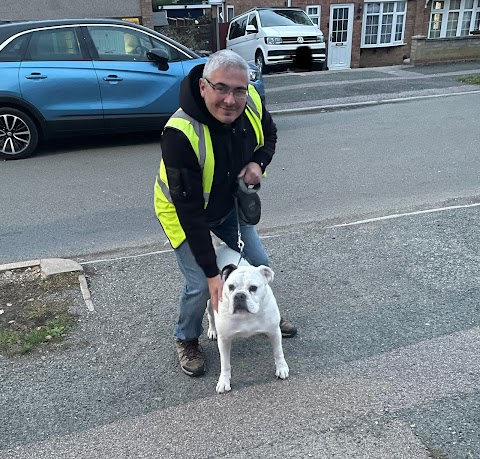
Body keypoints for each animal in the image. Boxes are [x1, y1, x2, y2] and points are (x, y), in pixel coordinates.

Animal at [206, 244, 288, 396]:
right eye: (230, 287)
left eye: (253, 288)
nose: (239, 295)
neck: (247, 316)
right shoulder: (224, 339)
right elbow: (225, 364)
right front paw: (224, 381)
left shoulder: (274, 331)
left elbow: (278, 352)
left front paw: (281, 368)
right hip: (208, 299)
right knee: (210, 314)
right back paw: (212, 330)